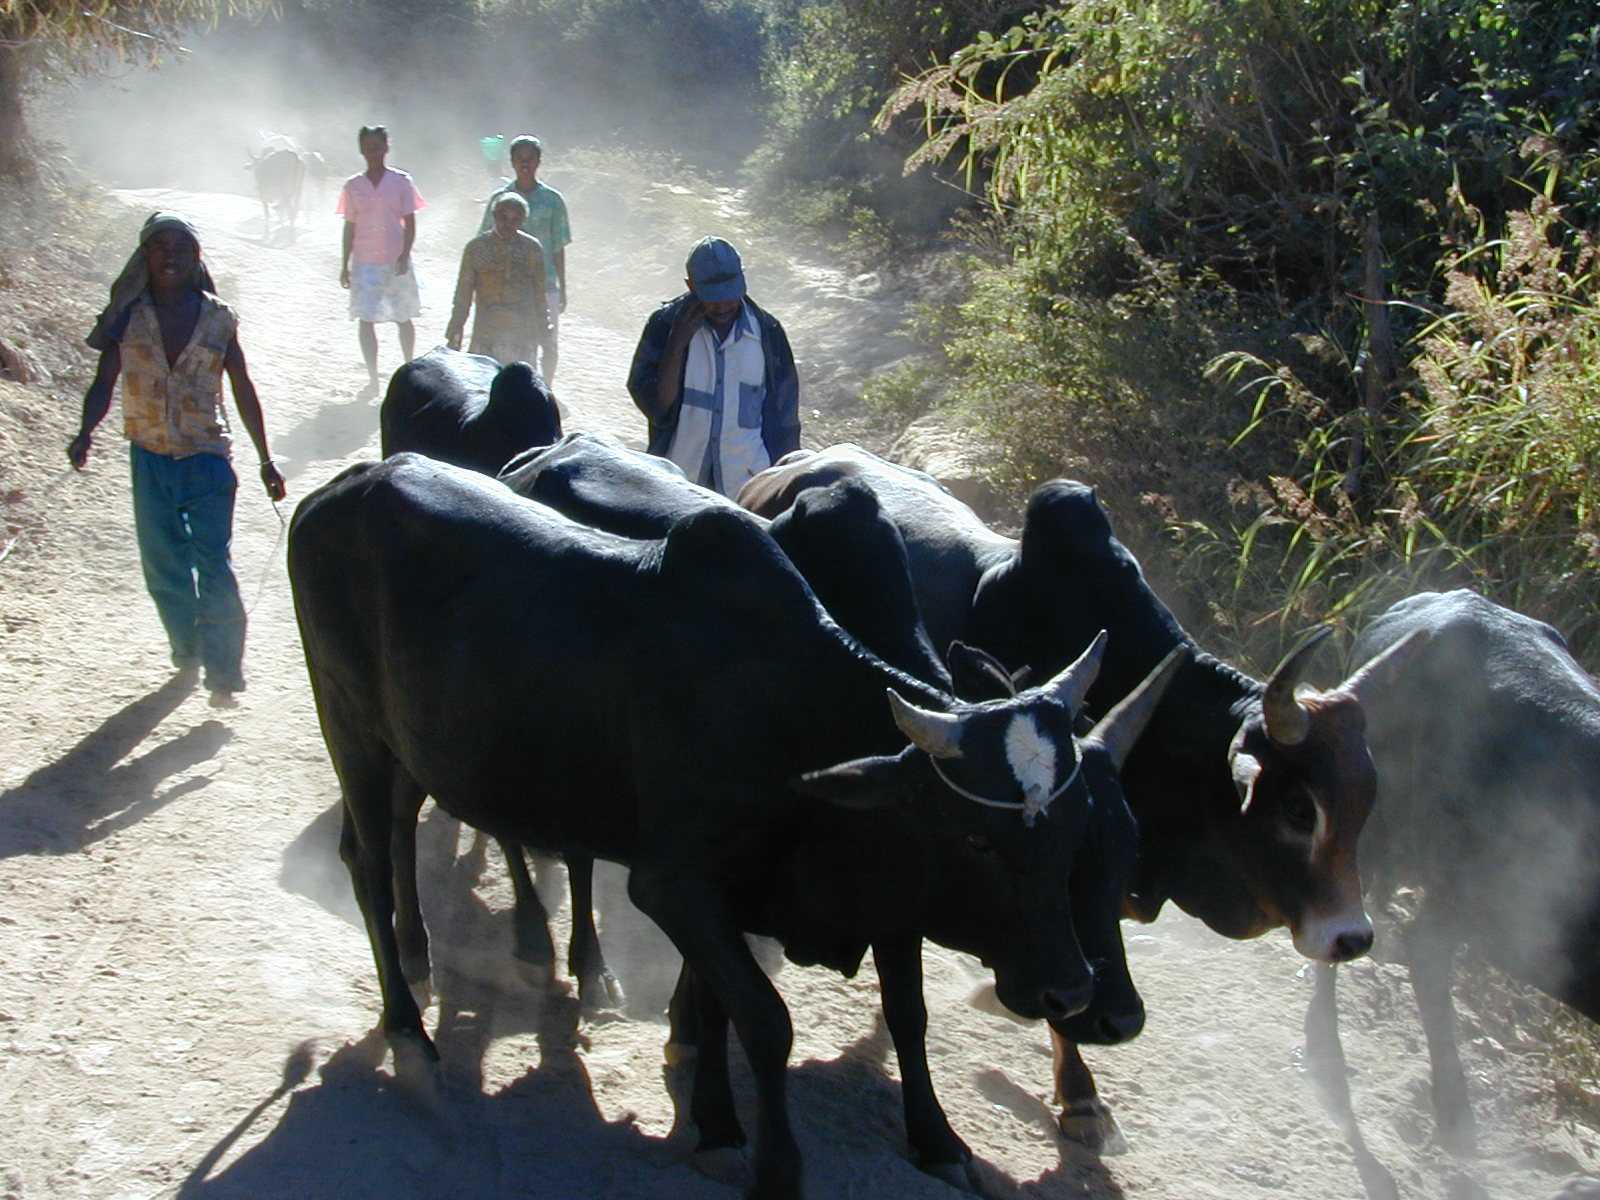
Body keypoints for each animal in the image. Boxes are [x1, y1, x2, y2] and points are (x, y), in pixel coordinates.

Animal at [288, 452, 1120, 1198]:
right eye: (978, 840)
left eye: (1078, 829)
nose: (1072, 991)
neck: (793, 714)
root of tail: (343, 486)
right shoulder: (678, 886)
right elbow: (764, 1020)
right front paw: (764, 1161)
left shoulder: (839, 900)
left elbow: (896, 1016)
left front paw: (933, 1142)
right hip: (349, 727)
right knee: (368, 863)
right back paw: (411, 1035)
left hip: (407, 748)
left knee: (398, 835)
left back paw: (425, 959)